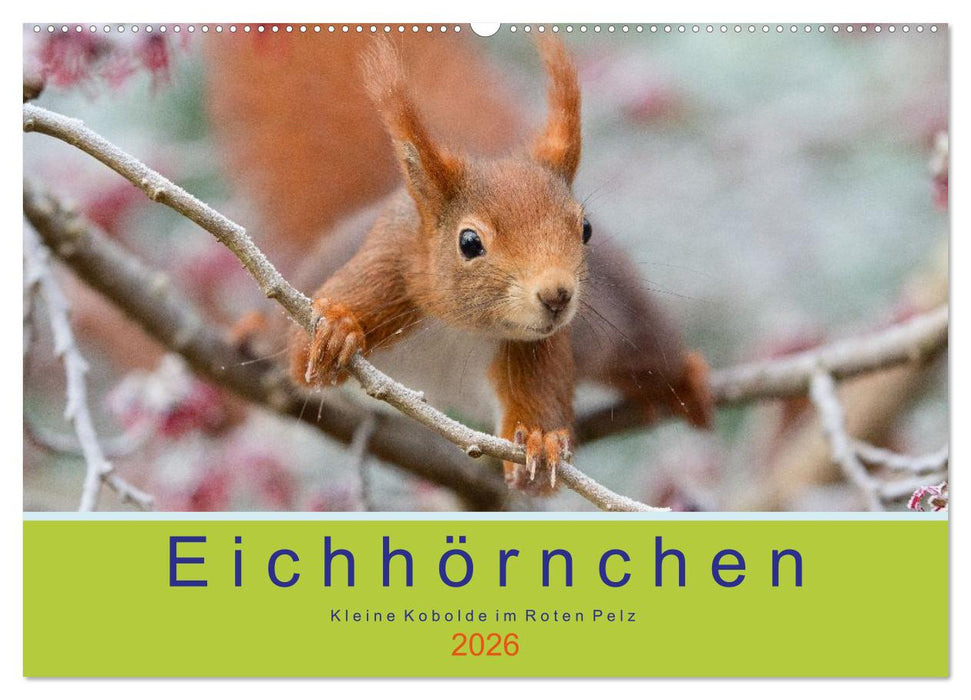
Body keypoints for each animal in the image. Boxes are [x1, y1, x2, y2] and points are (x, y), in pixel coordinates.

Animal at [203, 32, 714, 495]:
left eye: (584, 229)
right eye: (469, 242)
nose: (557, 295)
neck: (461, 326)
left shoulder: (537, 346)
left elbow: (542, 426)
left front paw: (543, 440)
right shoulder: (387, 275)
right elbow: (301, 354)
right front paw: (337, 329)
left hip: (622, 321)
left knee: (652, 350)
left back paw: (687, 382)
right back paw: (251, 328)